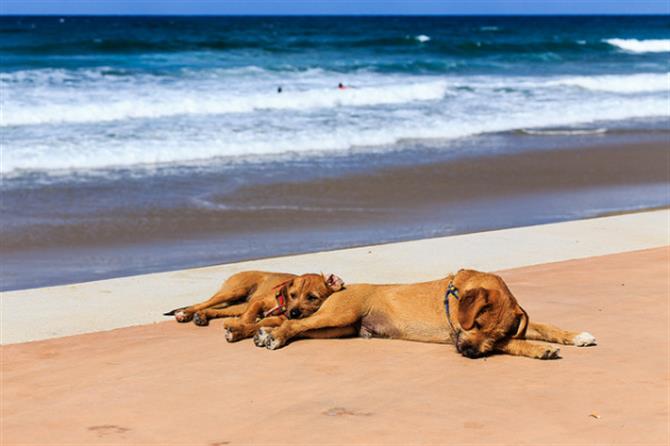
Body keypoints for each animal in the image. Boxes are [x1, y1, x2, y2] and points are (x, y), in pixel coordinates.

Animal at [167, 270, 346, 340]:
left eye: (312, 297)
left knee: (218, 309)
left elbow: (257, 323)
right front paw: (240, 326)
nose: (293, 314)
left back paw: (202, 316)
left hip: (239, 304)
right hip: (235, 291)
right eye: (292, 295)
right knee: (203, 303)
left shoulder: (276, 319)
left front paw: (240, 329)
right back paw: (185, 313)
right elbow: (249, 318)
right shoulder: (258, 302)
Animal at [253, 268, 600, 358]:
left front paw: (576, 336)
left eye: (495, 330)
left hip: (339, 327)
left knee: (303, 328)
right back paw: (273, 336)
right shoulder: (458, 333)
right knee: (292, 324)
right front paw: (540, 349)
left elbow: (543, 325)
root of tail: (338, 288)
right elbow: (516, 342)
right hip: (337, 315)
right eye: (476, 323)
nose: (469, 354)